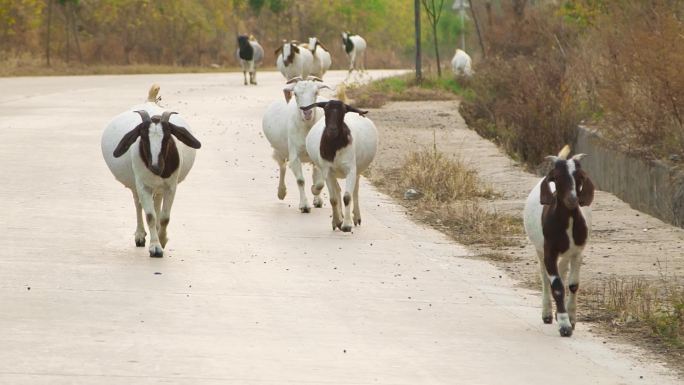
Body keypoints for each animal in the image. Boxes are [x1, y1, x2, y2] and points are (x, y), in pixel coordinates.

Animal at [101, 85, 202, 256]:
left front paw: (162, 239)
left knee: (157, 201)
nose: (155, 167)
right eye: (142, 137)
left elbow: (165, 217)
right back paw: (140, 236)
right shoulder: (143, 186)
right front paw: (155, 247)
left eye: (167, 137)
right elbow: (150, 216)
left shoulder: (171, 187)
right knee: (138, 204)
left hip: (159, 188)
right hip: (136, 185)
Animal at [262, 76, 328, 212]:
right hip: (280, 150)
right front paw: (304, 206)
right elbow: (300, 180)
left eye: (316, 92)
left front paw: (314, 191)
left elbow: (320, 182)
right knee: (282, 167)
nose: (307, 112)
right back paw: (281, 192)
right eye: (296, 94)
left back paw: (317, 200)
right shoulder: (295, 155)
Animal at [524, 144, 592, 336]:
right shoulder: (549, 251)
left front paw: (572, 318)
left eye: (580, 177)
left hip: (567, 253)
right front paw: (564, 324)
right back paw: (547, 313)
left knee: (562, 270)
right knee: (544, 277)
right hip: (540, 250)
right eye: (558, 177)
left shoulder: (577, 252)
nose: (572, 199)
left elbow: (573, 285)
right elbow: (557, 286)